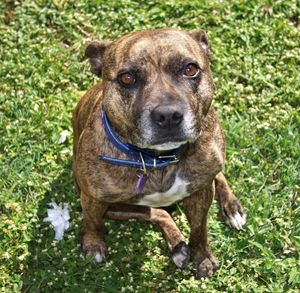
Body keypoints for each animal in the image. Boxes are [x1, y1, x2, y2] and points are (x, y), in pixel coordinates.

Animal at [72, 28, 246, 278]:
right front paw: (93, 244)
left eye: (190, 69)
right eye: (126, 78)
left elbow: (200, 229)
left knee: (218, 176)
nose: (168, 115)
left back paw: (232, 208)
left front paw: (202, 257)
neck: (156, 159)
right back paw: (177, 246)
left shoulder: (201, 193)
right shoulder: (94, 199)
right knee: (159, 213)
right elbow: (92, 222)